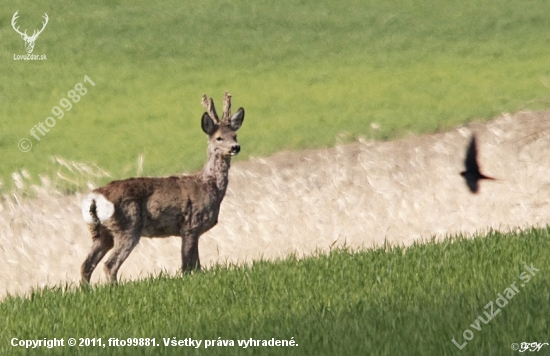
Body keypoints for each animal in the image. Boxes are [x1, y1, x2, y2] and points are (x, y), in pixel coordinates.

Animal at [81, 92, 245, 284]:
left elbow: (197, 267)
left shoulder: (192, 231)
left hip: (101, 233)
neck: (207, 185)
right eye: (219, 137)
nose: (235, 147)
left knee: (86, 265)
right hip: (127, 226)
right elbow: (187, 267)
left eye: (235, 135)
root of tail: (95, 197)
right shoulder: (191, 225)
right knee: (109, 265)